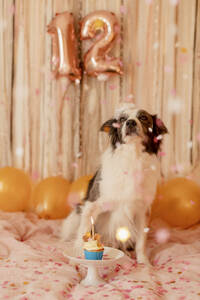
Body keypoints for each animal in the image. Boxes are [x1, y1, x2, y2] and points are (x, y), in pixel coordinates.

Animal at [60, 104, 167, 264]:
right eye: (122, 119)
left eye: (143, 118)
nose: (130, 122)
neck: (132, 156)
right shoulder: (93, 205)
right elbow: (83, 233)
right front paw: (76, 259)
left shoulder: (141, 211)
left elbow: (141, 241)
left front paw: (144, 262)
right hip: (76, 214)